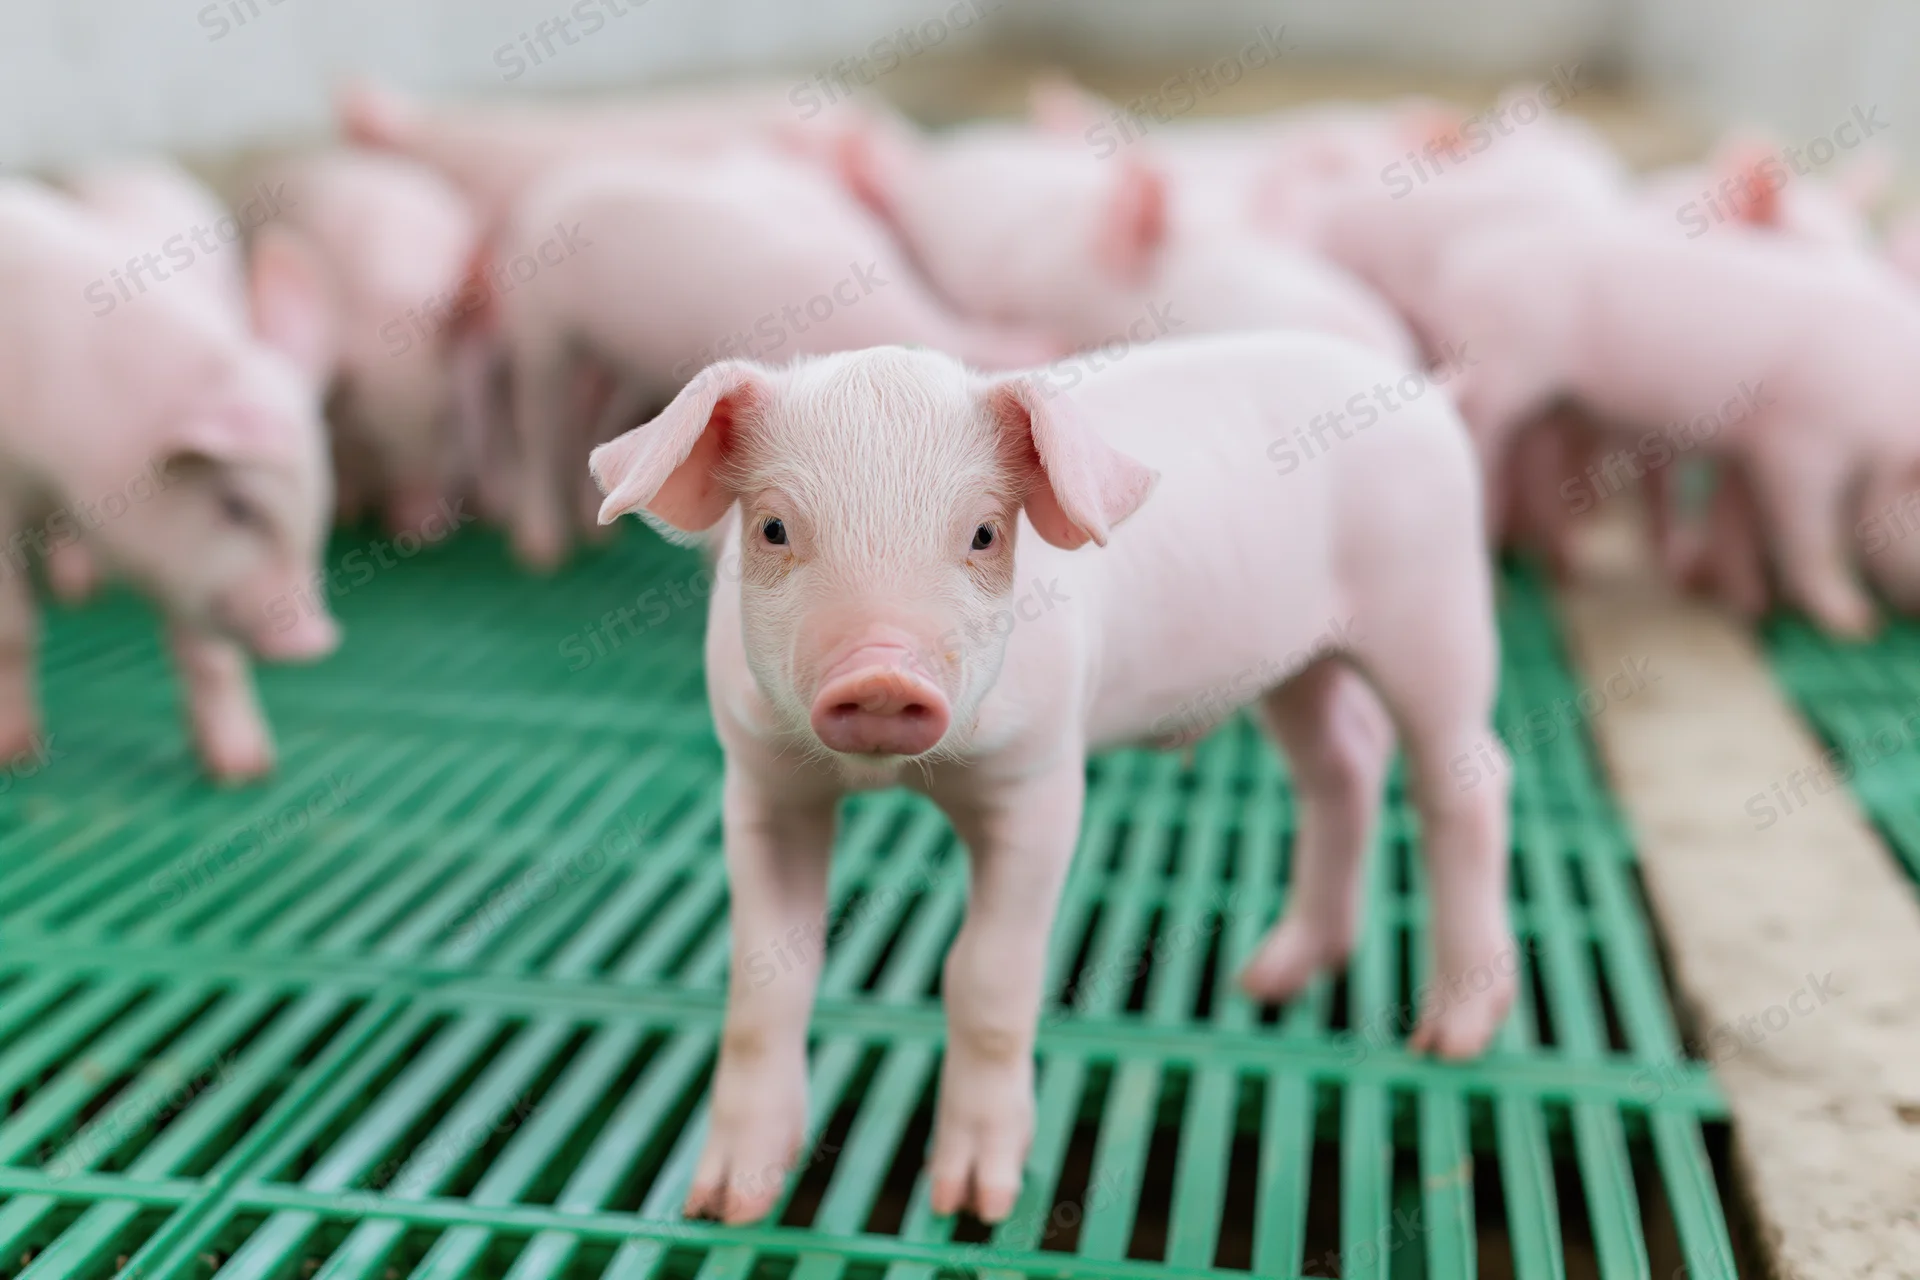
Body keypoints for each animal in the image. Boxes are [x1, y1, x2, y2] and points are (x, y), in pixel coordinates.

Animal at [0, 179, 338, 779]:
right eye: (237, 506)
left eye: (320, 504)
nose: (317, 641)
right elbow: (12, 630)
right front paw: (15, 755)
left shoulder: (190, 571)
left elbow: (210, 654)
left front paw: (246, 771)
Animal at [493, 149, 1064, 569]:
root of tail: (550, 186)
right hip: (539, 324)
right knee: (538, 422)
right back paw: (542, 551)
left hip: (623, 362)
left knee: (593, 423)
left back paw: (596, 534)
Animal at [589, 334, 1513, 1224]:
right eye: (775, 528)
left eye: (984, 534)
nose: (882, 674)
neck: (895, 777)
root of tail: (1415, 390)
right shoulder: (762, 781)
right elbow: (766, 975)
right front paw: (724, 1206)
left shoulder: (1038, 780)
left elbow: (987, 974)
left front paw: (974, 1204)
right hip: (1295, 664)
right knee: (1343, 763)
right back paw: (1268, 977)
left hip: (1434, 609)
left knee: (1468, 778)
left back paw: (1451, 1036)